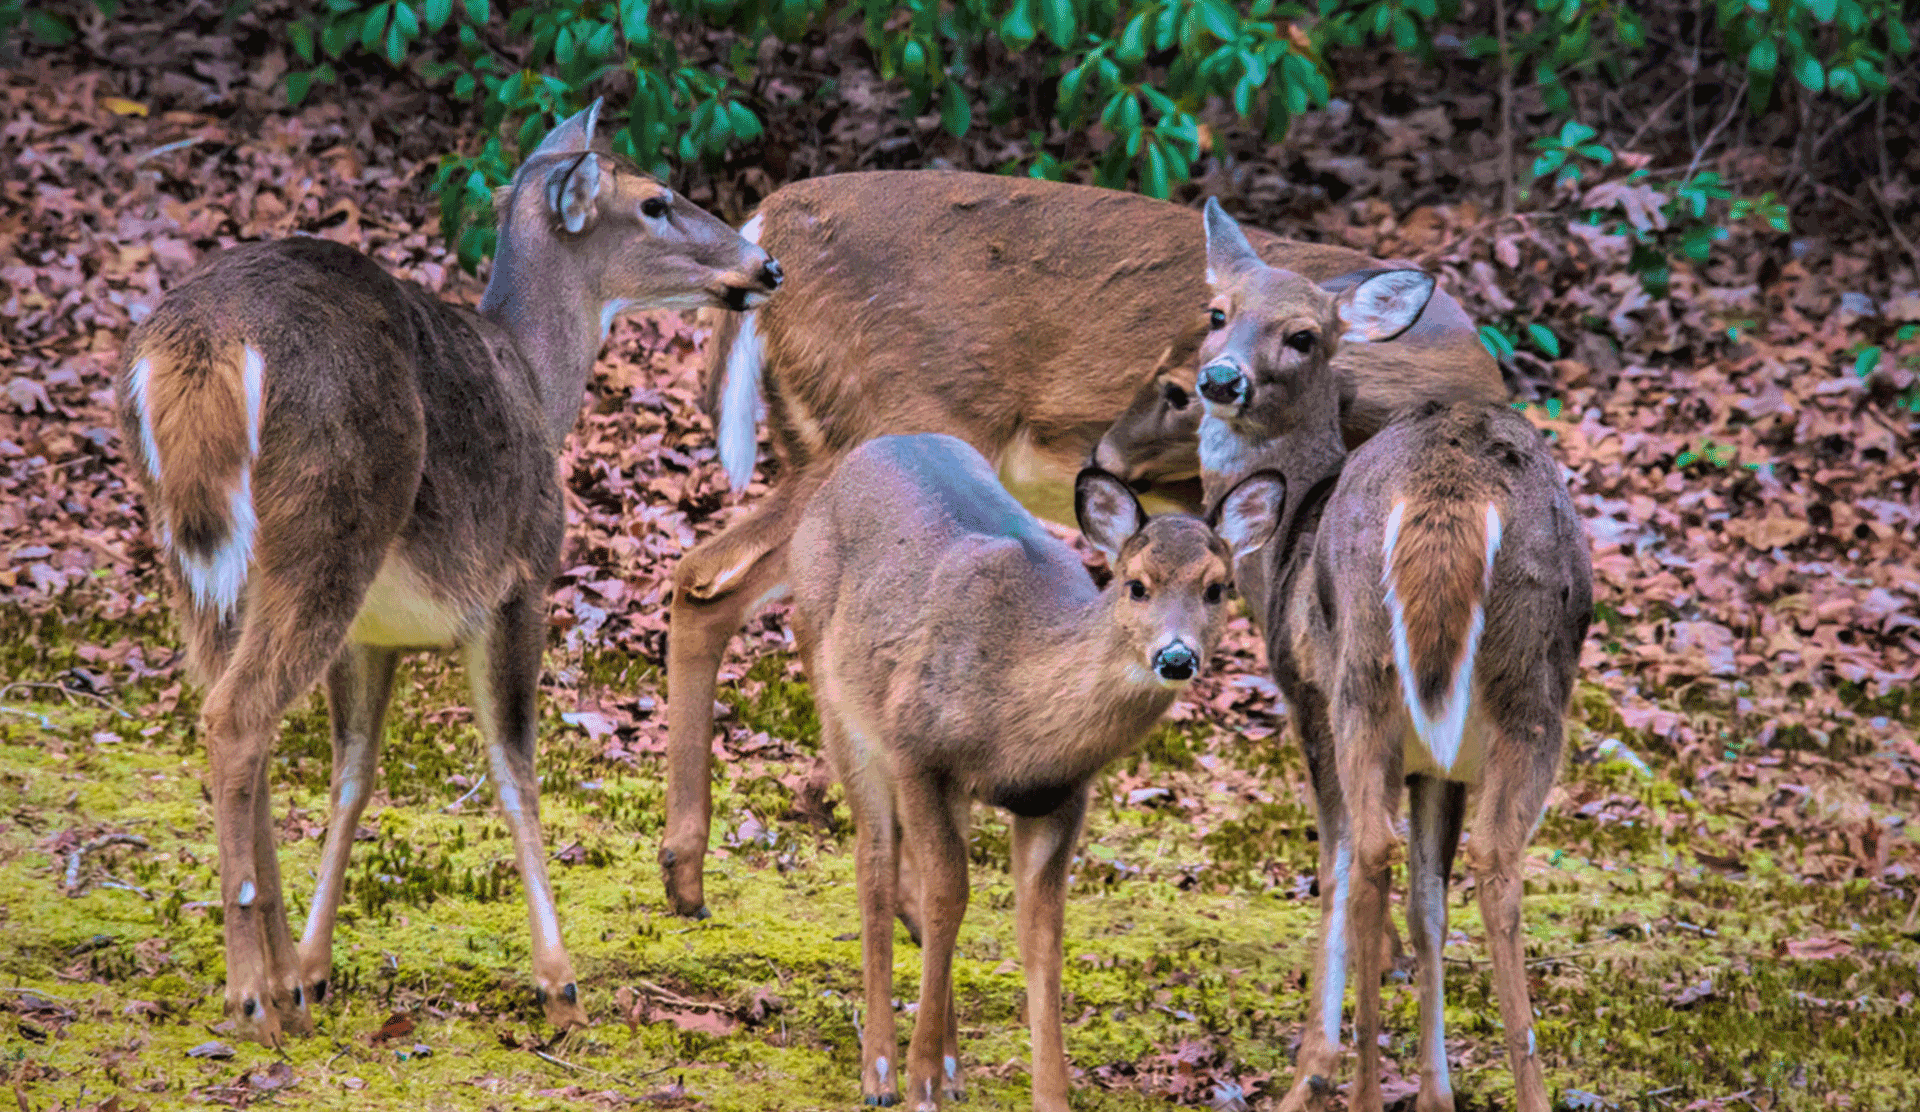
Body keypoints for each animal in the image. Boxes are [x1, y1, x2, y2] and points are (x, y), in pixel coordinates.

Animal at [114, 99, 779, 1052]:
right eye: (656, 201)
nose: (766, 267)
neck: (535, 383)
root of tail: (203, 340)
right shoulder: (519, 579)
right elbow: (515, 772)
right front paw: (560, 987)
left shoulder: (378, 630)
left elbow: (354, 777)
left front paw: (316, 967)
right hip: (330, 517)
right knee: (237, 716)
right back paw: (250, 999)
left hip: (199, 552)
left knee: (236, 716)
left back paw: (280, 986)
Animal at [660, 169, 1497, 918]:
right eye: (1211, 321)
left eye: (1298, 336)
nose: (1109, 450)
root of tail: (771, 219)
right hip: (882, 422)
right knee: (727, 579)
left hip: (822, 440)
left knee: (707, 580)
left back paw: (693, 872)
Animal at [787, 435, 1282, 1112]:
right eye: (1135, 585)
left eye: (1218, 588)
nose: (1177, 656)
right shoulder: (916, 749)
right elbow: (948, 896)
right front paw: (917, 1081)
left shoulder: (1061, 798)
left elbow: (1041, 933)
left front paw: (1047, 1094)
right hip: (835, 693)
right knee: (876, 864)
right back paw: (882, 1070)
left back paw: (952, 1065)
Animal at [1190, 202, 1597, 1112]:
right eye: (1217, 312)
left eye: (1303, 336)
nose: (1221, 380)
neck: (1282, 545)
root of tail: (1451, 491)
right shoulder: (1437, 765)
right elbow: (1429, 906)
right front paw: (1438, 1090)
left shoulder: (1303, 693)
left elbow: (1339, 865)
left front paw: (1312, 1065)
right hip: (1530, 684)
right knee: (1499, 861)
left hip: (1363, 676)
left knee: (1369, 850)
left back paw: (1362, 1090)